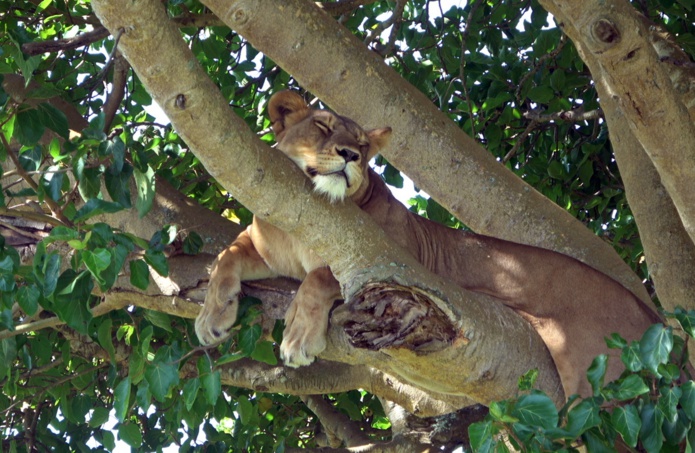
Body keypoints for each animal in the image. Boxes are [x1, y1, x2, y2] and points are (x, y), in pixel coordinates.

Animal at [193, 90, 660, 398]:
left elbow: (320, 278)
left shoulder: (392, 259)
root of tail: (651, 313)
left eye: (363, 146)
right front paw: (211, 317)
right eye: (322, 127)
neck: (302, 220)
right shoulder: (262, 242)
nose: (350, 156)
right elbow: (226, 255)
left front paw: (298, 337)